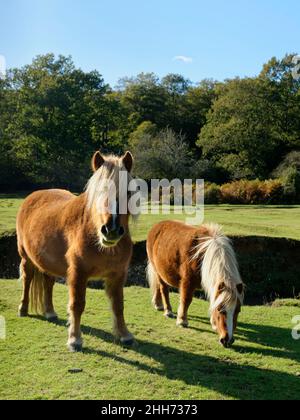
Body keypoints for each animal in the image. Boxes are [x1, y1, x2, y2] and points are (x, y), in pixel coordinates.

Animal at [17, 151, 137, 352]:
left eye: (127, 192)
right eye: (98, 191)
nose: (111, 229)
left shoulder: (118, 274)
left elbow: (118, 305)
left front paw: (124, 335)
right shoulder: (78, 273)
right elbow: (77, 304)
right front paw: (75, 339)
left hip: (48, 262)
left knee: (48, 283)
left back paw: (50, 312)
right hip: (26, 258)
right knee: (27, 279)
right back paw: (23, 309)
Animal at [146, 220, 245, 348]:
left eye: (238, 311)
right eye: (220, 310)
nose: (227, 341)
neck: (203, 255)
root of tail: (157, 225)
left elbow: (213, 299)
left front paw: (213, 323)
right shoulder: (187, 282)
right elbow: (186, 300)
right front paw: (182, 321)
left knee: (158, 287)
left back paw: (158, 304)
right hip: (158, 270)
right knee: (163, 288)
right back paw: (168, 311)